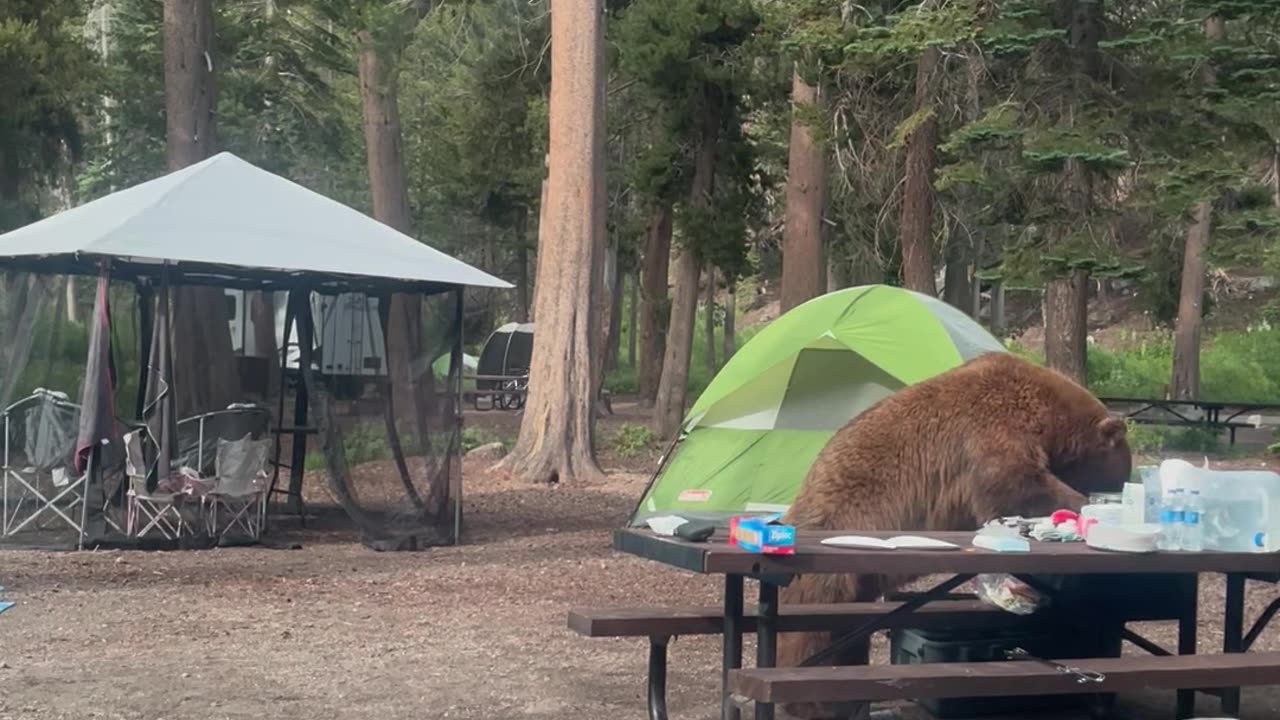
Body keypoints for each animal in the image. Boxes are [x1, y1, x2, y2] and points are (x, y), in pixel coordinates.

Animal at [778, 348, 1131, 717]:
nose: (1118, 489)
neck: (1049, 416)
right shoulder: (991, 431)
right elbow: (1015, 486)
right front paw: (1078, 506)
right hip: (835, 549)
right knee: (815, 631)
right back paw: (817, 700)